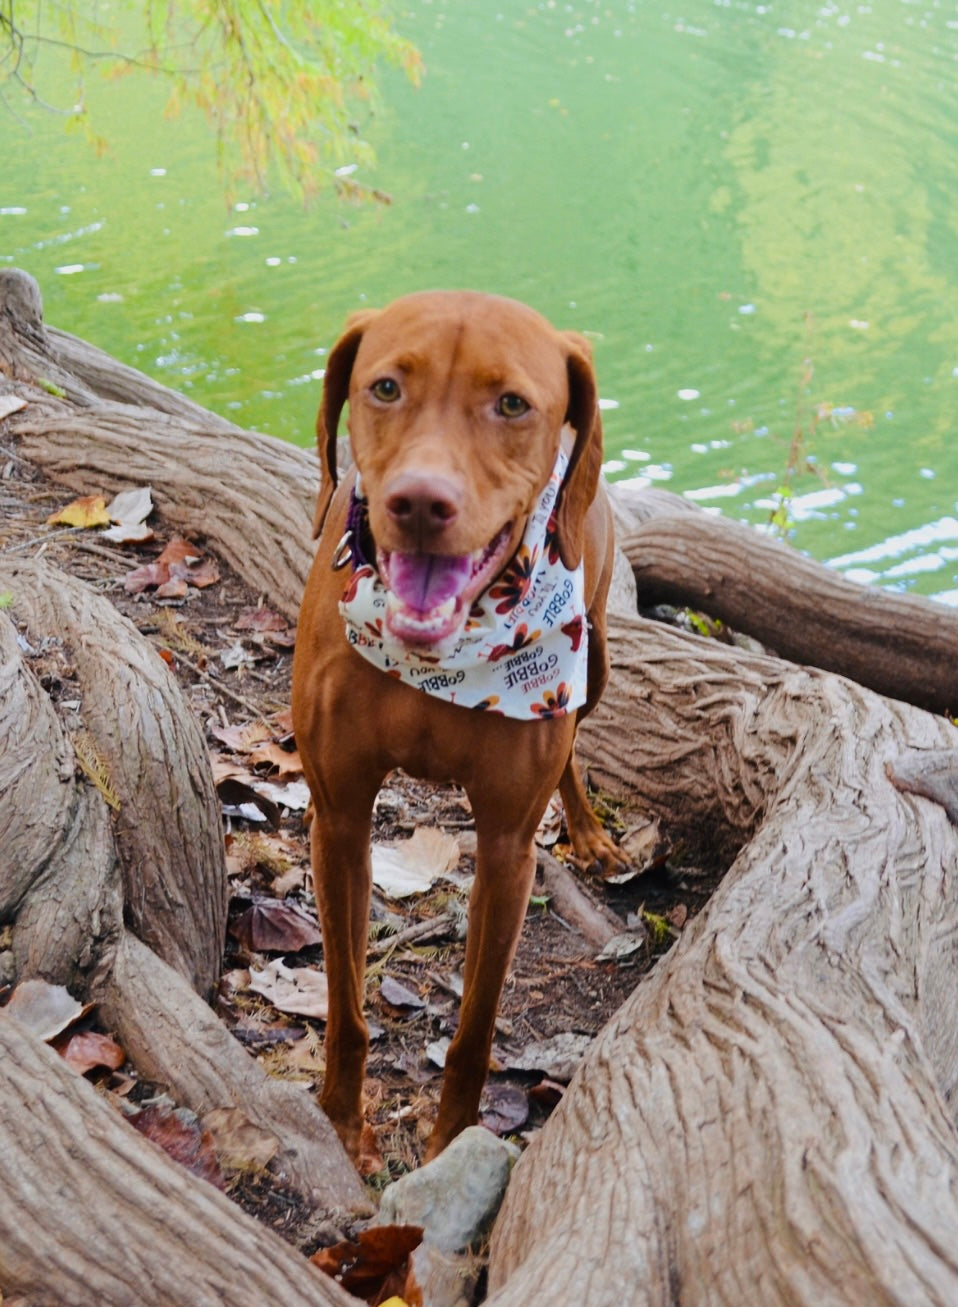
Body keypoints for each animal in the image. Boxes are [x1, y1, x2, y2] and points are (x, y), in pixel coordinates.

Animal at [291, 288, 619, 1165]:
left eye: (511, 403)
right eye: (385, 387)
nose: (418, 502)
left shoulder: (506, 850)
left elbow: (475, 1026)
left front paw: (448, 1141)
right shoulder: (339, 818)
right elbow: (344, 999)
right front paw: (341, 1124)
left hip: (592, 660)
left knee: (574, 741)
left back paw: (589, 831)